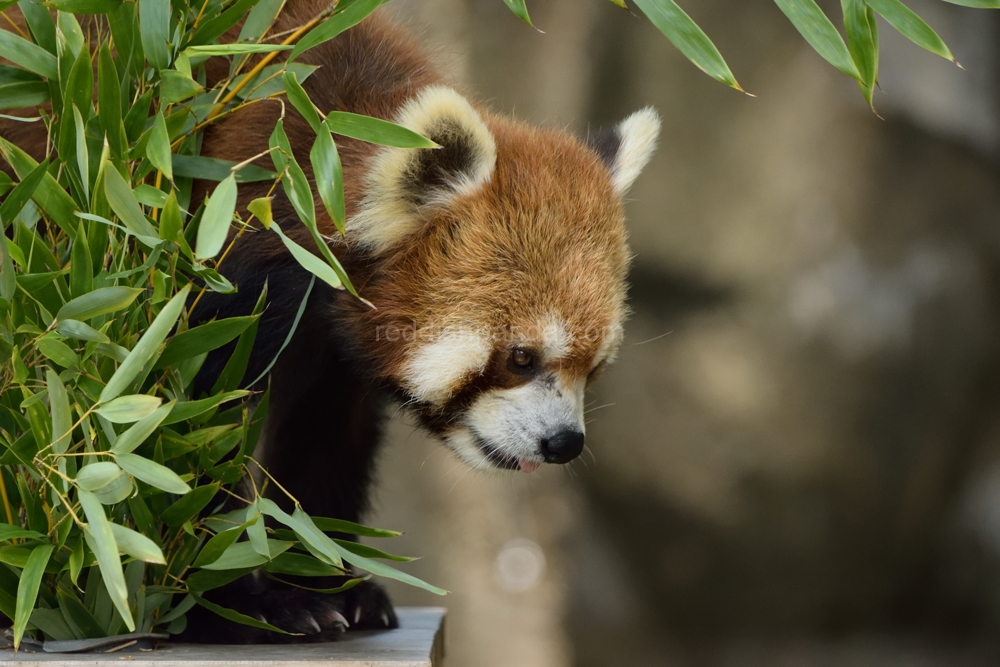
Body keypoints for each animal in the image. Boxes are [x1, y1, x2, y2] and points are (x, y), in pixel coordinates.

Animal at [0, 2, 660, 644]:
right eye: (521, 357)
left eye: (593, 367)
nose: (564, 443)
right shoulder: (207, 260)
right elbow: (182, 439)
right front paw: (231, 605)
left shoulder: (331, 350)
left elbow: (324, 441)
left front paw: (327, 583)